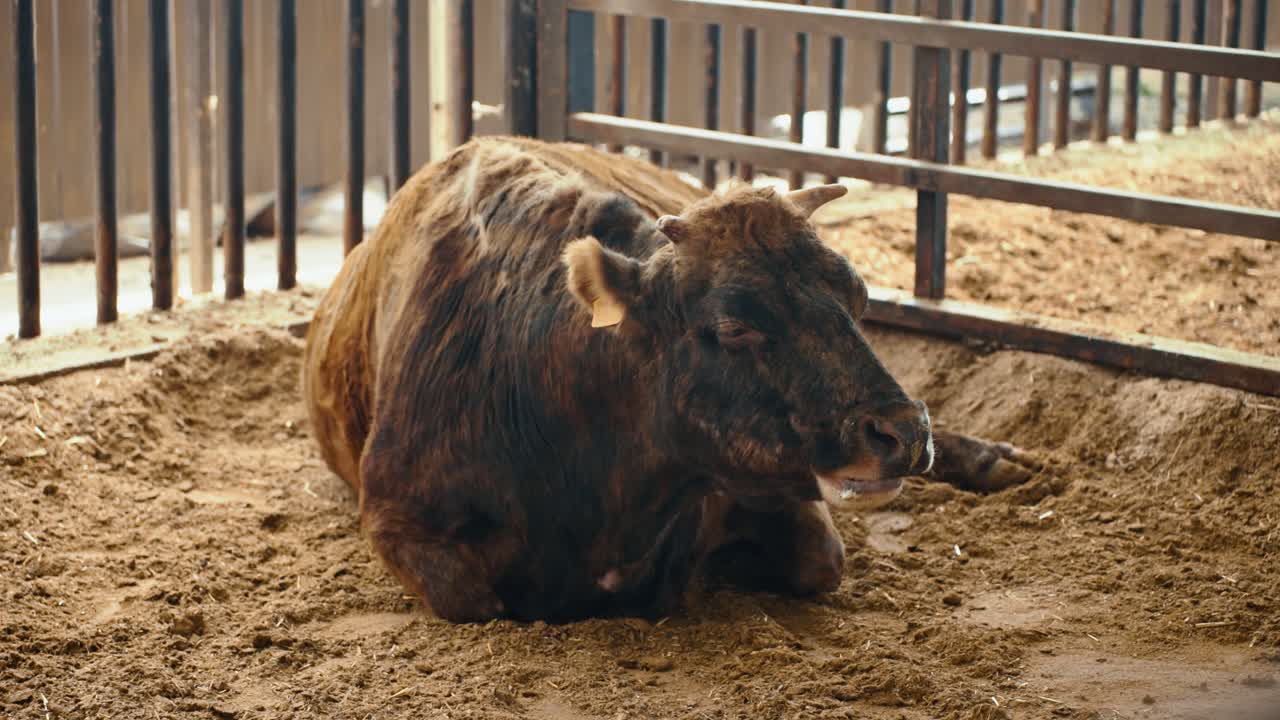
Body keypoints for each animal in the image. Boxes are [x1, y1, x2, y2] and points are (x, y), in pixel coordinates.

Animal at [303, 136, 1035, 623]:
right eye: (733, 325)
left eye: (856, 297)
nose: (901, 432)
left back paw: (995, 459)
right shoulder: (399, 519)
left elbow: (818, 560)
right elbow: (473, 601)